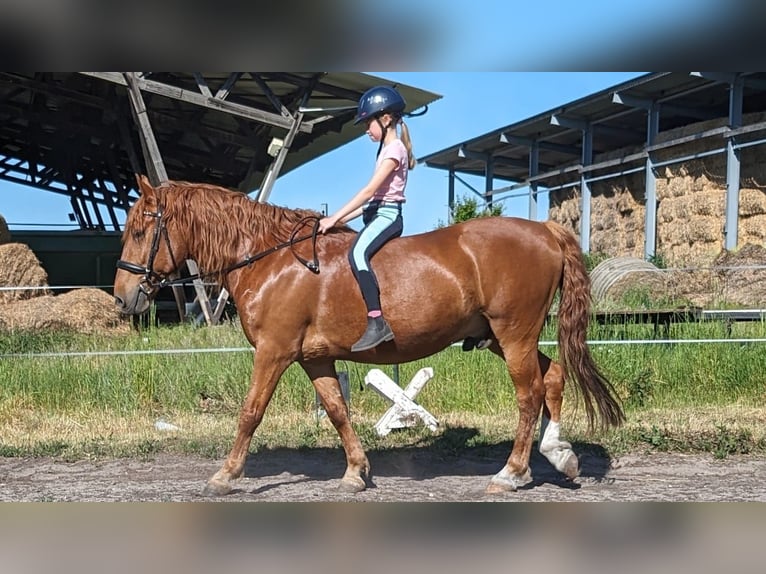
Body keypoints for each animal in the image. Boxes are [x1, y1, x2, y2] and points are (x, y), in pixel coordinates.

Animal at [117, 177, 628, 500]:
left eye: (141, 230)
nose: (123, 298)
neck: (269, 259)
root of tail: (545, 228)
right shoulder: (314, 358)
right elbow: (337, 411)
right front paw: (356, 473)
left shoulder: (274, 352)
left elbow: (250, 413)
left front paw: (224, 476)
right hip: (503, 337)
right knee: (554, 376)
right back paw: (559, 455)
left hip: (514, 332)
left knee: (529, 393)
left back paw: (512, 473)